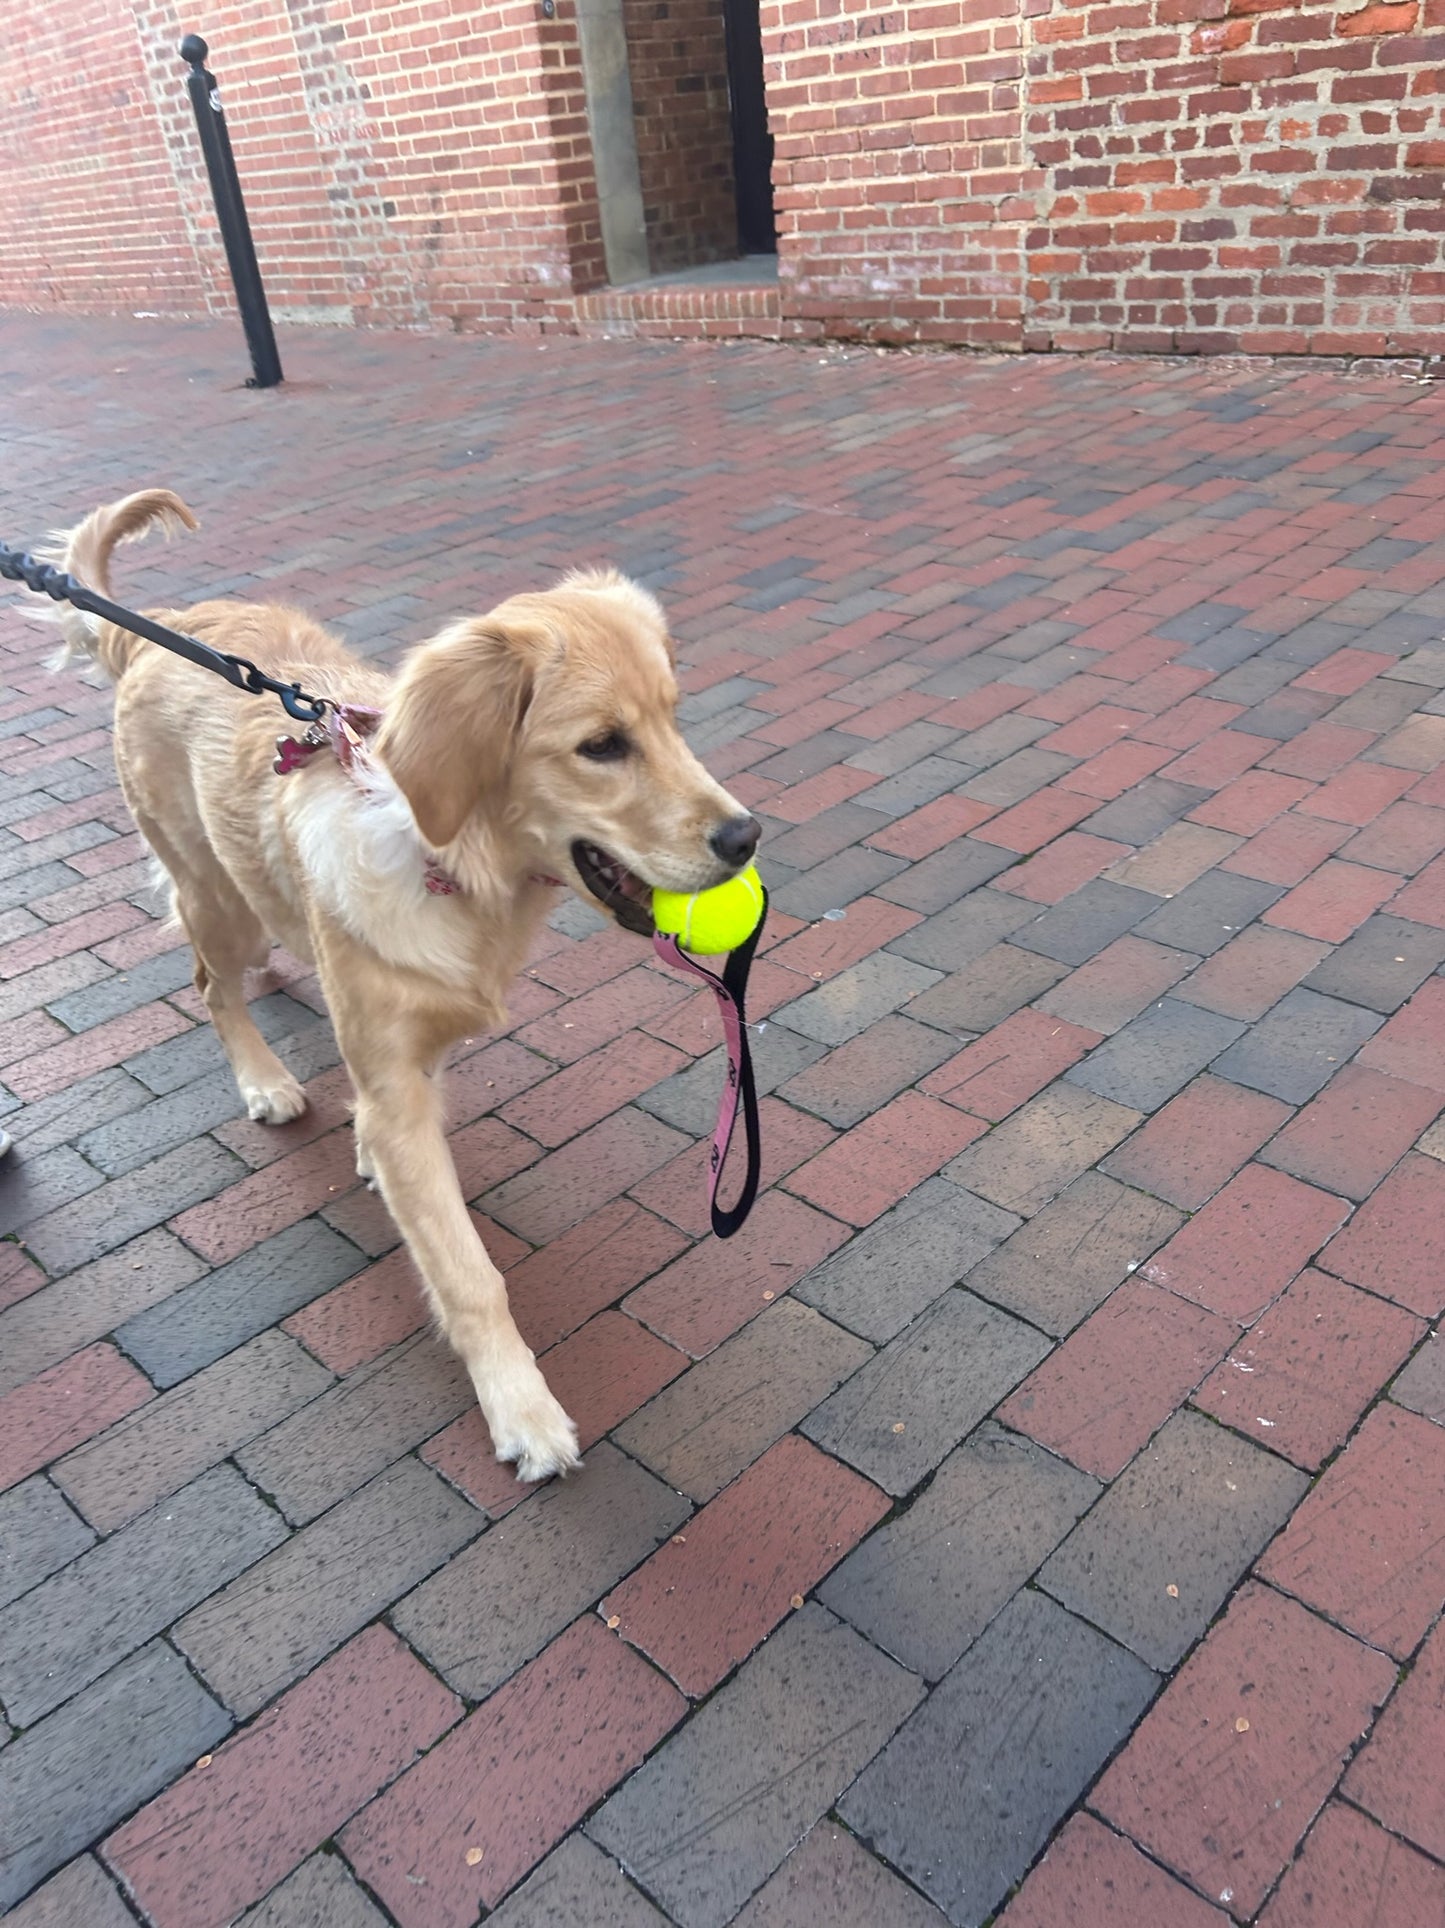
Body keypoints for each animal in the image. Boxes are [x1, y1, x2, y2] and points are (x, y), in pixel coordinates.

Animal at [49, 489, 760, 1480]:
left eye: (672, 719)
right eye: (601, 746)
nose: (745, 837)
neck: (453, 863)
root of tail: (162, 627)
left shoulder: (409, 1064)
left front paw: (367, 1154)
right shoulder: (395, 1081)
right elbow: (467, 1274)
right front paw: (521, 1409)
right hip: (211, 895)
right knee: (209, 984)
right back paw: (263, 1080)